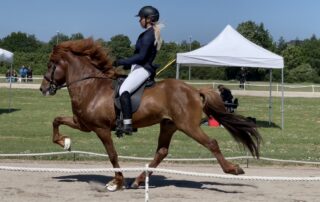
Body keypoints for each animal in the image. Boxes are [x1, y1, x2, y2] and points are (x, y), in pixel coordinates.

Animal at [38, 38, 262, 192]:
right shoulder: (83, 124)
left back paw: (233, 169)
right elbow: (56, 120)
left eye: (50, 65)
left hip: (188, 126)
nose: (43, 89)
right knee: (161, 151)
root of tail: (194, 90)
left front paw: (116, 182)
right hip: (169, 125)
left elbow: (112, 155)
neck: (90, 86)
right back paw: (138, 180)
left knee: (211, 143)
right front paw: (64, 142)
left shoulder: (101, 129)